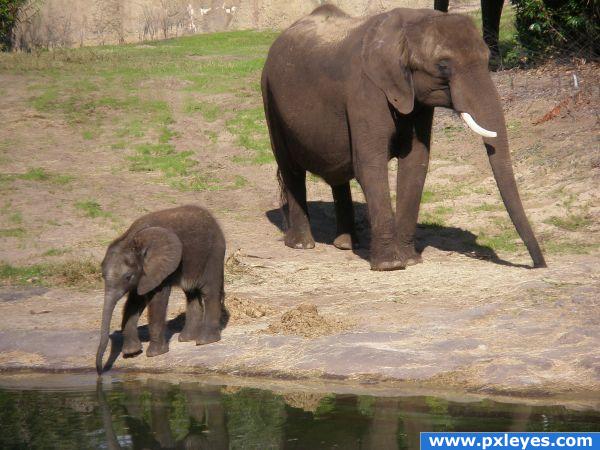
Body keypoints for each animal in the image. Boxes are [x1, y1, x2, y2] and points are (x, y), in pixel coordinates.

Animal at [95, 206, 226, 374]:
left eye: (128, 277)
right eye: (102, 276)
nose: (100, 371)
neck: (132, 240)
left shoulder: (158, 268)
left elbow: (156, 299)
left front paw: (154, 354)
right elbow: (134, 301)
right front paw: (131, 353)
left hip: (212, 254)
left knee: (209, 291)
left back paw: (204, 341)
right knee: (191, 293)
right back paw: (186, 339)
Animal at [260, 4, 548, 270]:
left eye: (487, 60)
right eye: (443, 66)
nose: (539, 265)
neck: (408, 27)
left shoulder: (417, 101)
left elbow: (416, 163)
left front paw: (410, 260)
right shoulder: (364, 89)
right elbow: (370, 165)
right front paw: (390, 265)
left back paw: (346, 244)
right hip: (270, 98)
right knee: (291, 169)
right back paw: (302, 244)